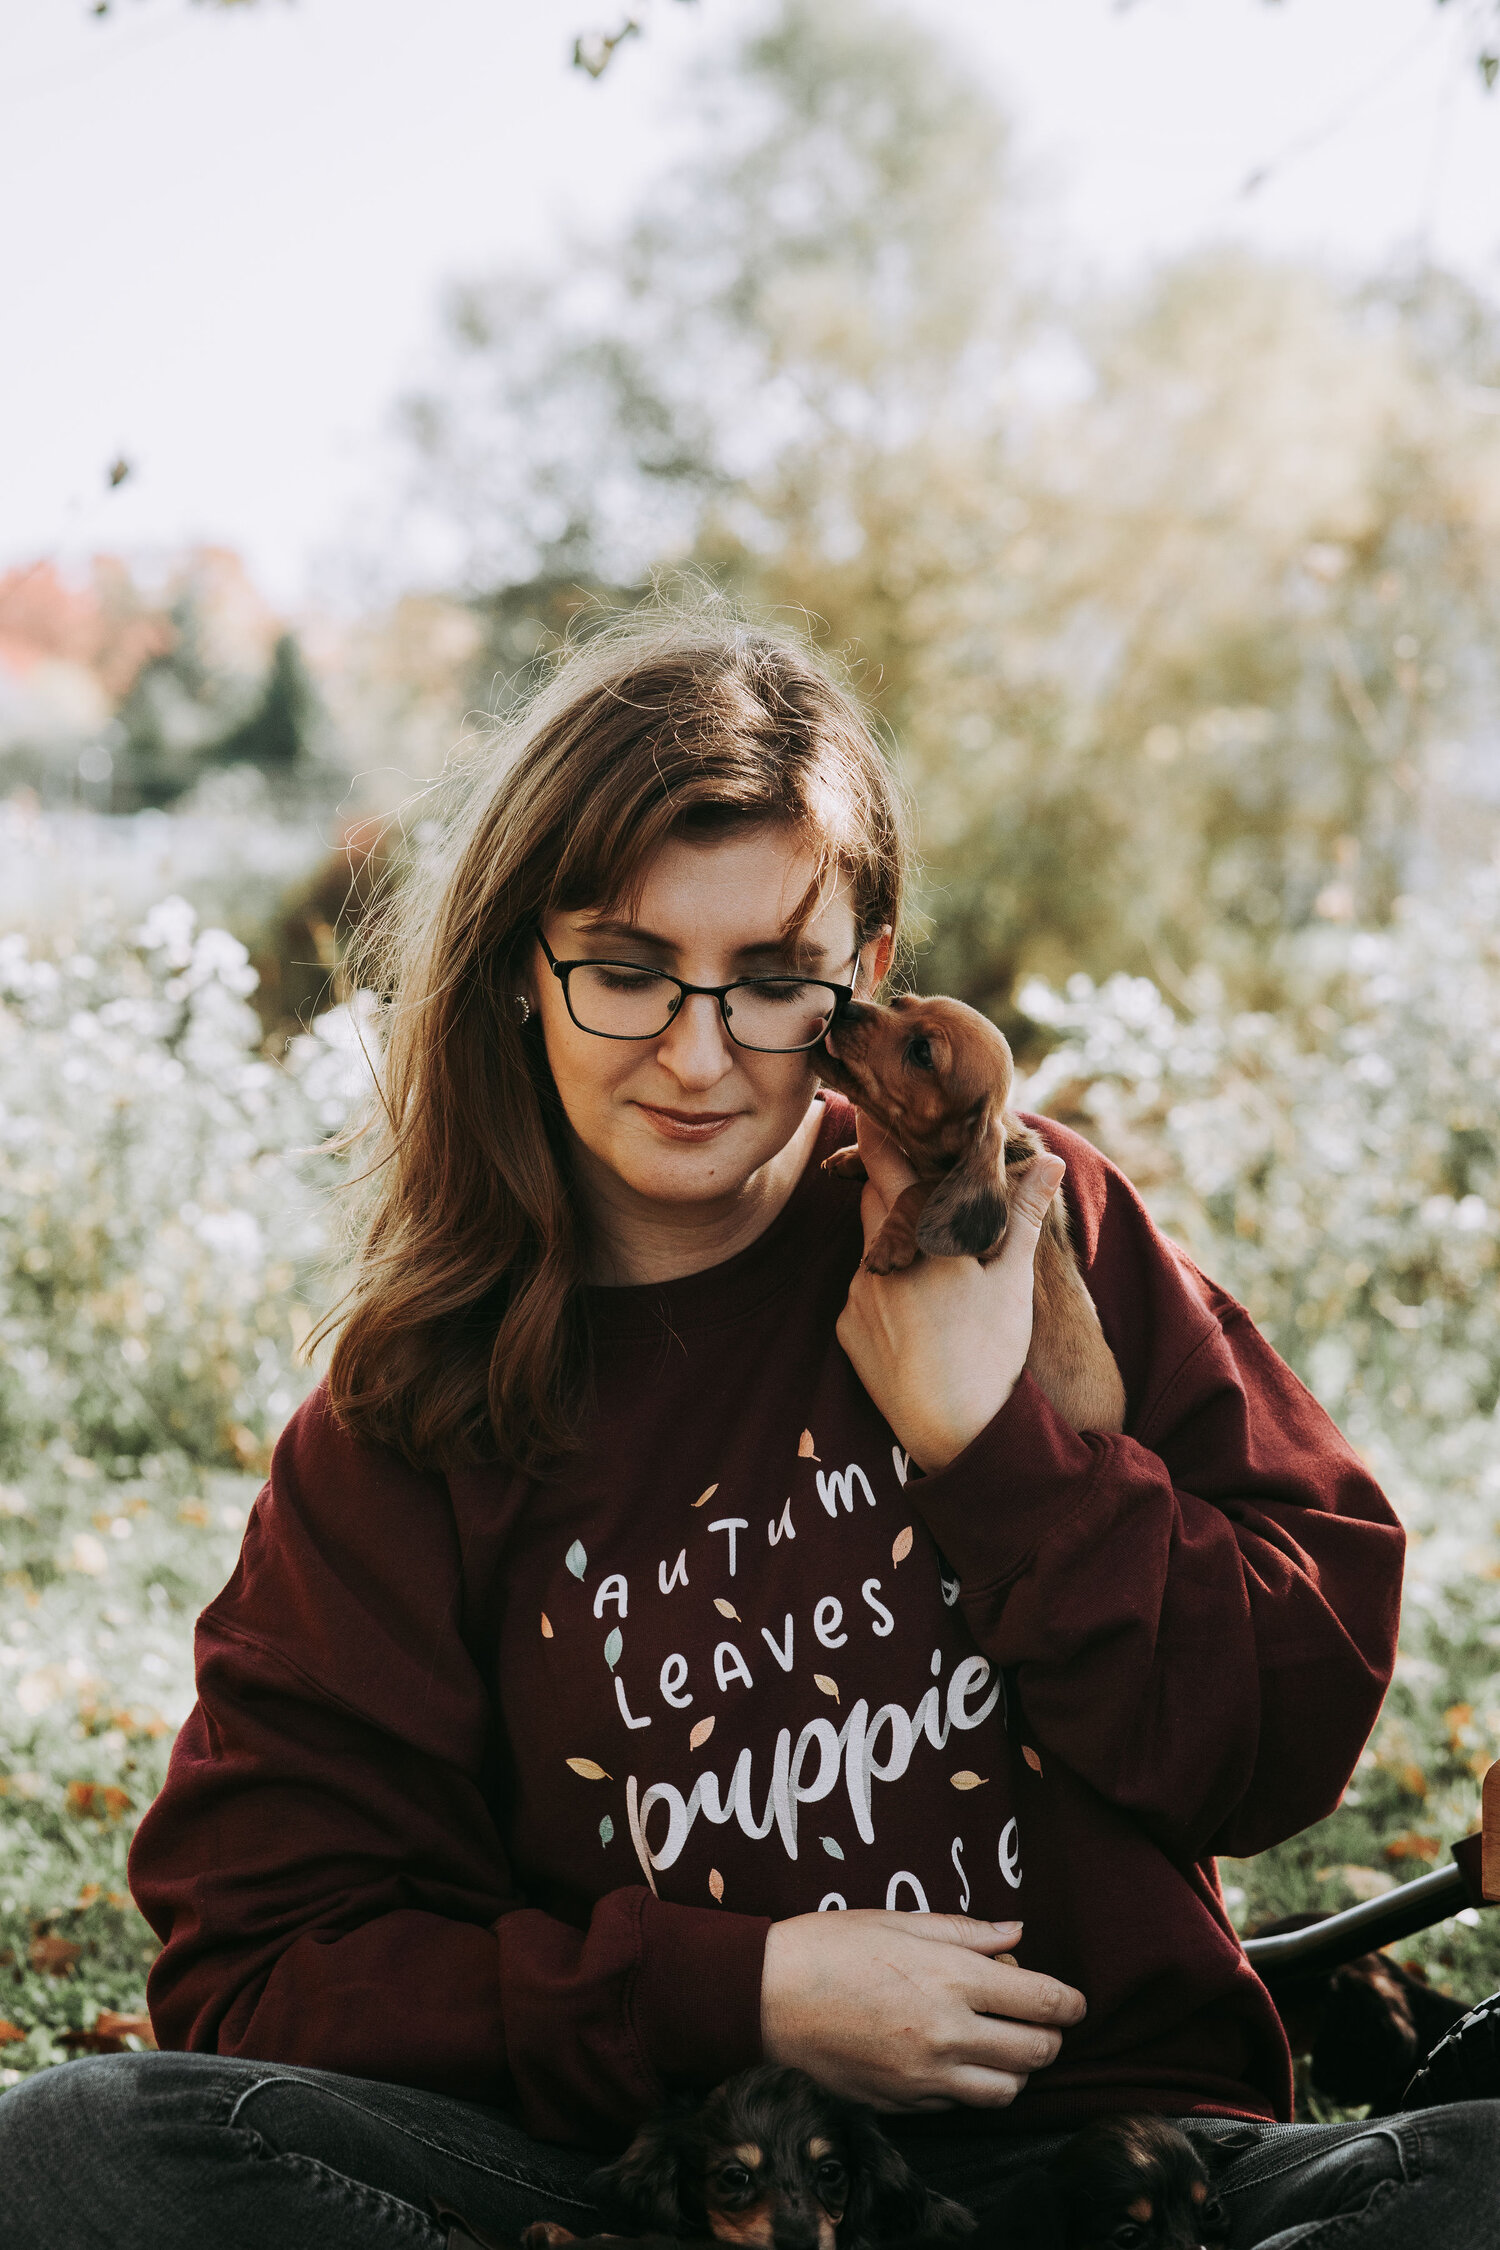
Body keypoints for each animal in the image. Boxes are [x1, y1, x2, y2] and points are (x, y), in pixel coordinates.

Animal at [819, 994, 1126, 1434]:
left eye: (923, 1053)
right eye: (898, 1002)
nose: (844, 1006)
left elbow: (919, 1189)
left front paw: (891, 1240)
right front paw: (851, 1157)